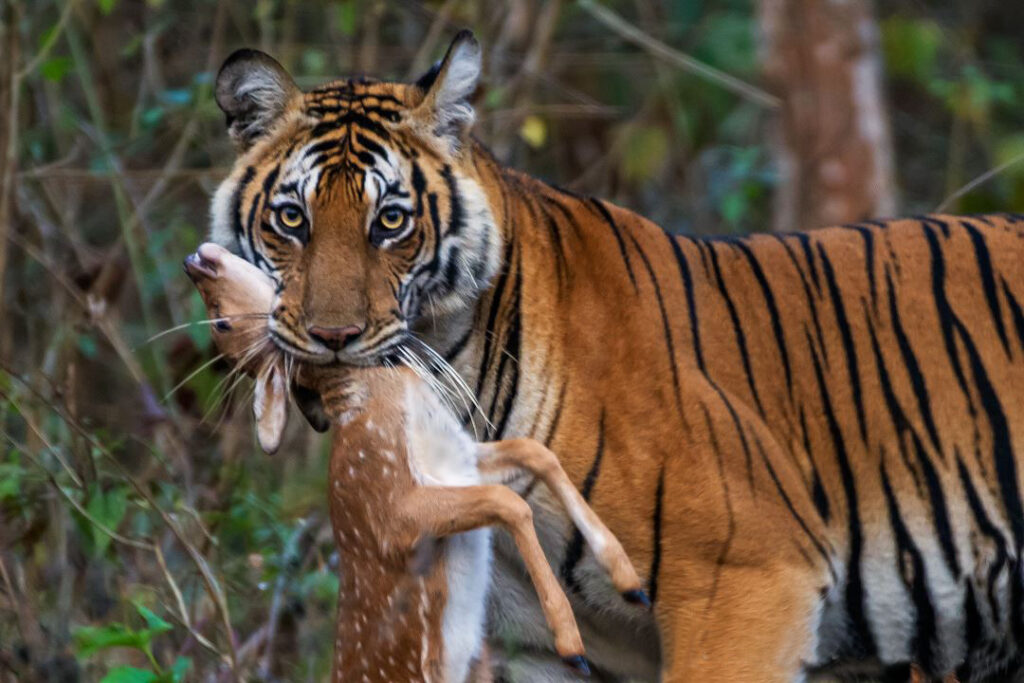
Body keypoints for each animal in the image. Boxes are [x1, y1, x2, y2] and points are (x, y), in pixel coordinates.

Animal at [207, 31, 1024, 682]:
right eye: (292, 218)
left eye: (391, 221)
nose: (332, 337)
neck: (460, 372)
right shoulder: (537, 645)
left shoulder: (747, 580)